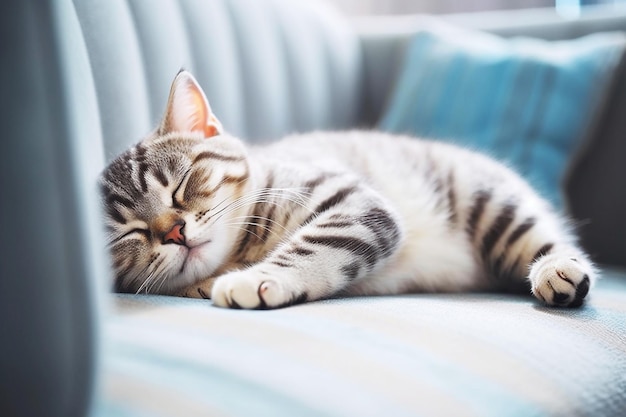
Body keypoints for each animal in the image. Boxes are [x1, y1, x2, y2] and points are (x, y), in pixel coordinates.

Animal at [98, 70, 596, 308]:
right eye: (128, 233)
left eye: (180, 185)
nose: (174, 232)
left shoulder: (353, 202)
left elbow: (313, 247)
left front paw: (258, 278)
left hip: (491, 203)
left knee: (546, 240)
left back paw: (557, 269)